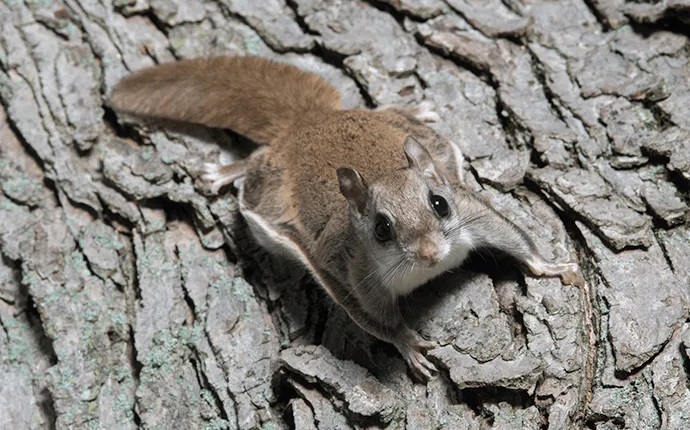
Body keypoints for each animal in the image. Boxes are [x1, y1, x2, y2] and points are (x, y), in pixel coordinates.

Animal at [110, 56, 584, 380]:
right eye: (381, 229)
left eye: (439, 204)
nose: (431, 253)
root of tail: (308, 122)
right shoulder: (352, 273)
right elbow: (374, 318)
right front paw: (409, 344)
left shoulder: (474, 213)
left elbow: (515, 236)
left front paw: (551, 266)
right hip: (269, 185)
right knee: (255, 163)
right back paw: (225, 172)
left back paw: (415, 109)